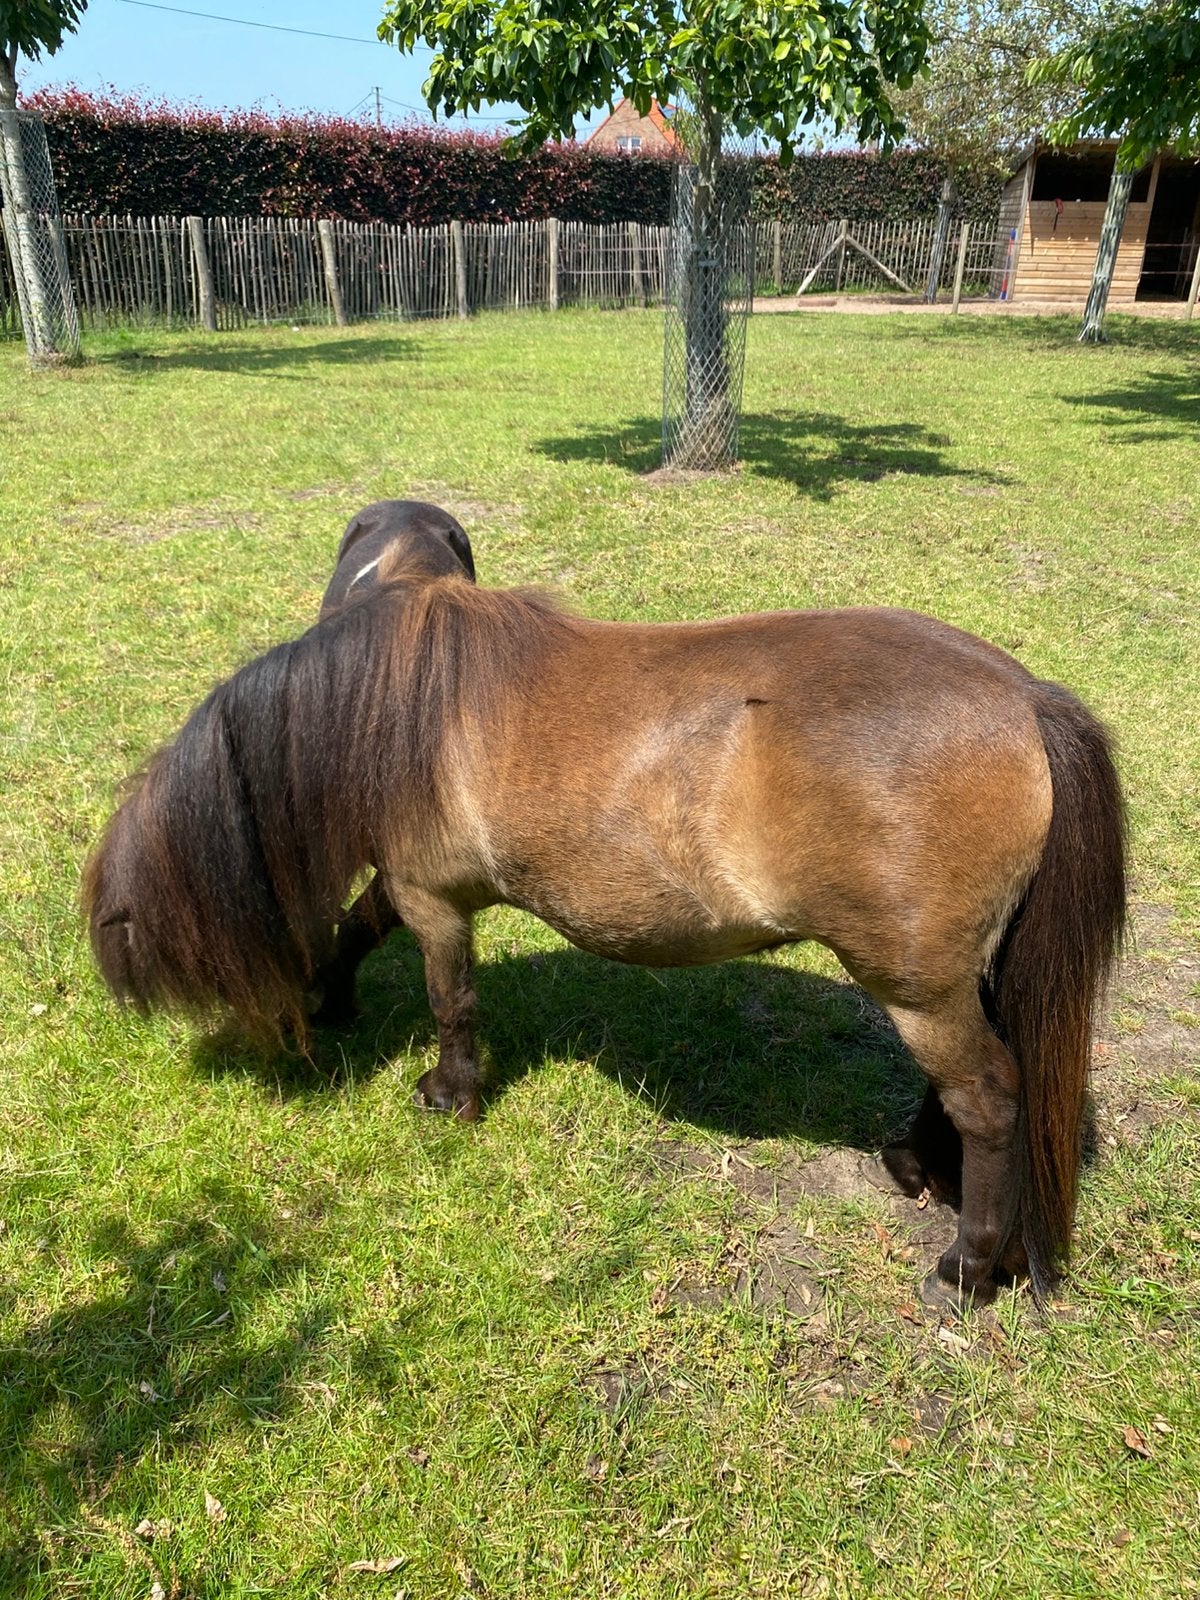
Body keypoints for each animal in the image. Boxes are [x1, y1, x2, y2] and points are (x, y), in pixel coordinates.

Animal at [83, 549, 1127, 1306]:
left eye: (147, 925)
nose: (123, 992)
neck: (396, 706)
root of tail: (1023, 698)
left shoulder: (433, 900)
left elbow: (449, 998)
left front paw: (450, 1093)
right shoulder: (409, 880)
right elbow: (353, 930)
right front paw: (331, 996)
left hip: (917, 985)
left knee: (989, 1098)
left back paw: (967, 1267)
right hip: (947, 977)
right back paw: (916, 1165)